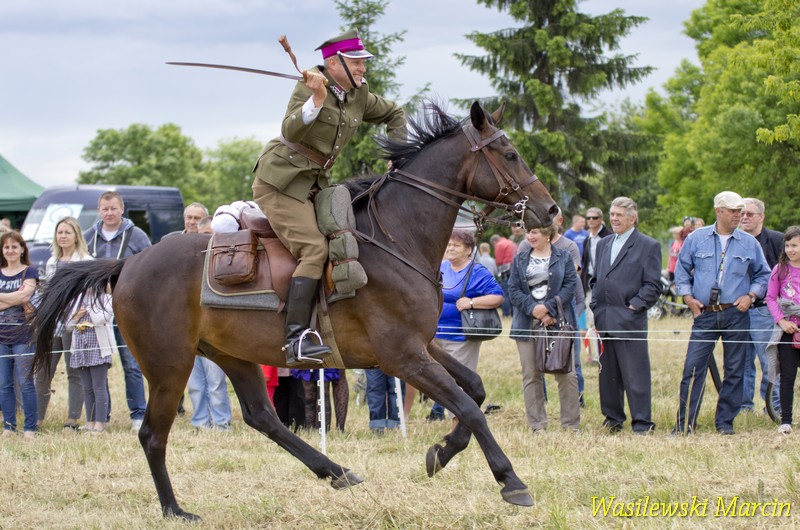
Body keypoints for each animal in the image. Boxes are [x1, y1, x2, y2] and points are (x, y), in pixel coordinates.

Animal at [33, 101, 557, 520]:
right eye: (509, 154)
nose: (550, 211)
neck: (395, 238)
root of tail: (129, 262)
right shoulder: (402, 356)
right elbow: (470, 407)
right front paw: (510, 481)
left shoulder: (420, 345)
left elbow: (474, 389)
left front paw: (440, 452)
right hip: (170, 367)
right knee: (153, 436)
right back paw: (175, 509)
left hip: (232, 356)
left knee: (263, 417)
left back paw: (335, 471)